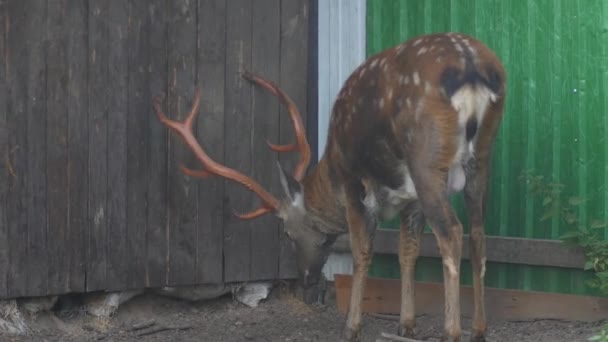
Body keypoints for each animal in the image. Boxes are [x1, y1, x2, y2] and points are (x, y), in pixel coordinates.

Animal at [152, 32, 504, 342]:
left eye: (287, 233)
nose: (305, 280)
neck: (331, 167)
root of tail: (472, 67)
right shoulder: (409, 198)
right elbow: (407, 251)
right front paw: (406, 324)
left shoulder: (354, 182)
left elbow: (362, 252)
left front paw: (350, 327)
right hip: (481, 157)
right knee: (478, 234)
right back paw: (479, 329)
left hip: (426, 159)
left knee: (452, 232)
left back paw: (452, 332)